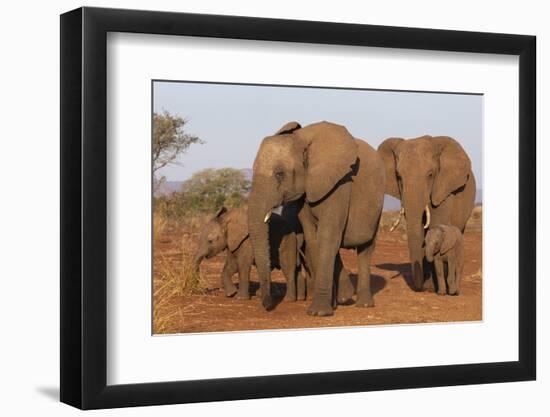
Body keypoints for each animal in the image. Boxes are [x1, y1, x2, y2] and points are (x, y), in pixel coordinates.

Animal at [250, 120, 388, 316]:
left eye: (279, 174)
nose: (268, 305)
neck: (301, 139)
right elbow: (314, 238)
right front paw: (336, 302)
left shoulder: (341, 183)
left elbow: (327, 236)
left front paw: (319, 313)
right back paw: (345, 297)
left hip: (377, 205)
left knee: (366, 249)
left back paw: (364, 304)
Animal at [380, 135, 478, 290]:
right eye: (399, 176)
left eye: (430, 174)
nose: (420, 287)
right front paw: (428, 285)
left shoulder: (443, 189)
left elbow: (435, 226)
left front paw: (432, 287)